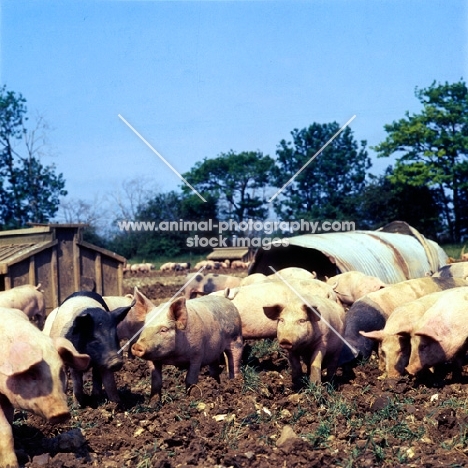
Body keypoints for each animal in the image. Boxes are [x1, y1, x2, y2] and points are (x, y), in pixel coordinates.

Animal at [0, 308, 89, 468]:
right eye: (32, 374)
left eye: (61, 371)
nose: (62, 413)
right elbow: (4, 429)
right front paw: (11, 466)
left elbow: (9, 424)